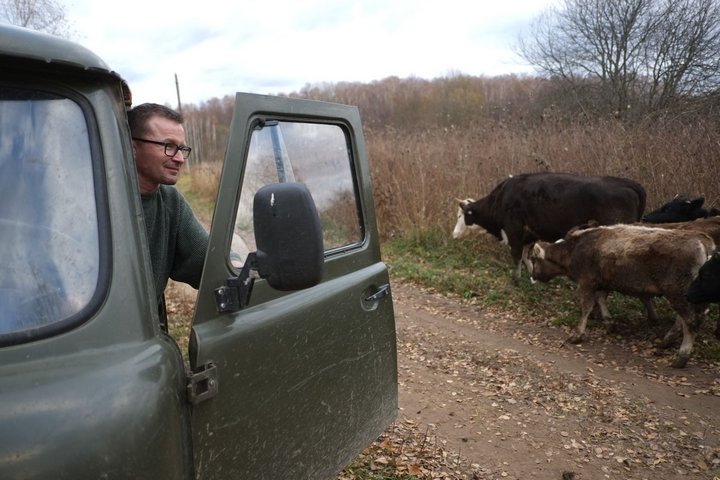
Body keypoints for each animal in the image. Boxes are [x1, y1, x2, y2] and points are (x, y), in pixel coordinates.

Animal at [452, 172, 644, 284]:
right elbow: (527, 256)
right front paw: (533, 277)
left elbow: (517, 256)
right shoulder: (530, 233)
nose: (453, 234)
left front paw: (516, 280)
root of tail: (630, 184)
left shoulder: (514, 230)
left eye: (460, 216)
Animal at [528, 225, 716, 368]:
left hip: (677, 292)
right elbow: (601, 299)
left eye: (535, 260)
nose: (532, 277)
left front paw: (577, 335)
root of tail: (700, 238)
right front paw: (609, 323)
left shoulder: (587, 282)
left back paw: (681, 357)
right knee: (683, 319)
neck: (574, 248)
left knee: (690, 322)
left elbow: (587, 307)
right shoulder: (603, 282)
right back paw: (666, 341)